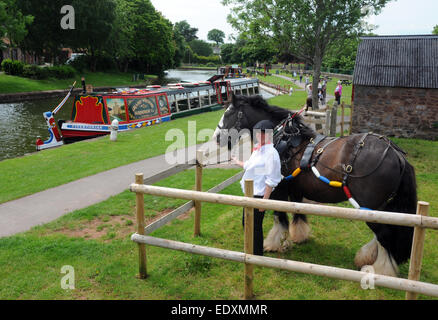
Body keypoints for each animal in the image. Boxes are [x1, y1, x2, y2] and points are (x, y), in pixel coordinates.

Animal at [213, 94, 418, 276]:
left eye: (229, 113)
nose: (216, 137)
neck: (282, 139)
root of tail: (395, 154)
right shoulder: (295, 189)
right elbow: (297, 212)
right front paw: (297, 236)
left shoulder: (279, 189)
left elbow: (279, 217)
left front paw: (273, 243)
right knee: (383, 234)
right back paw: (367, 257)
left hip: (370, 206)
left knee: (384, 234)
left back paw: (380, 269)